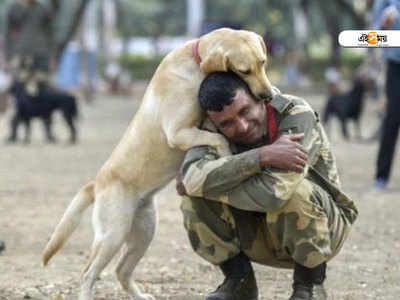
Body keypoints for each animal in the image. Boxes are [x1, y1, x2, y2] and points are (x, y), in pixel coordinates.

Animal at [41, 28, 272, 300]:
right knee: (88, 273)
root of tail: (96, 183)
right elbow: (219, 138)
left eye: (263, 63)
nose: (267, 96)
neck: (194, 61)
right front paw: (226, 152)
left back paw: (140, 296)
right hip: (113, 234)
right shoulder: (178, 132)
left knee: (121, 270)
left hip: (145, 231)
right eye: (244, 70)